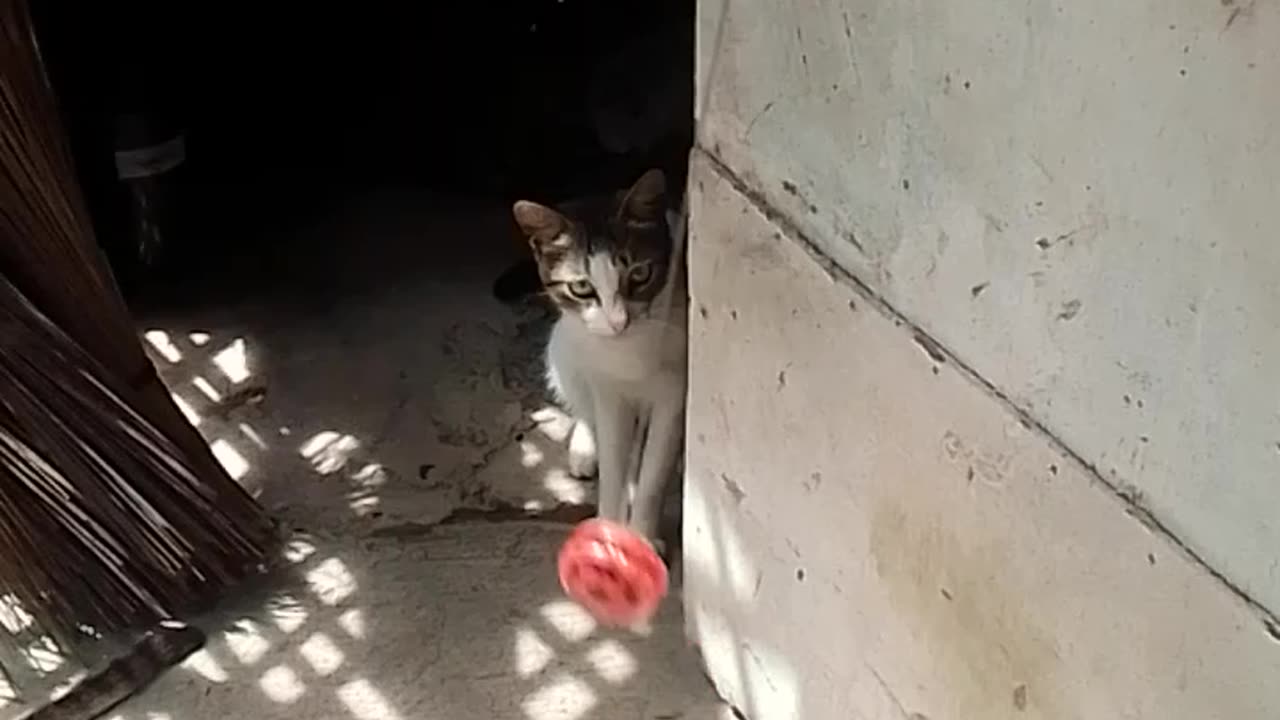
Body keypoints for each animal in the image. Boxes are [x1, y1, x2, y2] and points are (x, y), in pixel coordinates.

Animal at [512, 166, 691, 543]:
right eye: (581, 287)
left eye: (641, 273)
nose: (617, 322)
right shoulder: (608, 388)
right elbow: (613, 461)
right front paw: (608, 529)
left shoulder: (674, 393)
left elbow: (653, 472)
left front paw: (642, 536)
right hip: (564, 347)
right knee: (584, 406)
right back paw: (584, 448)